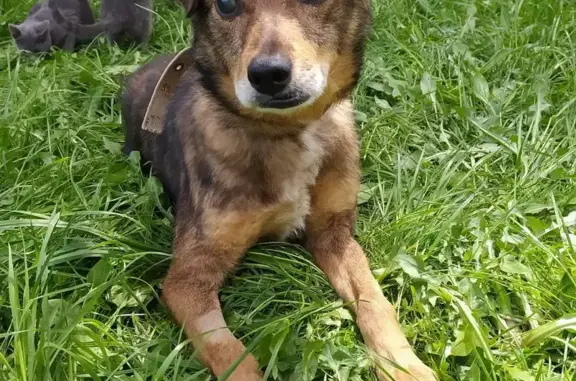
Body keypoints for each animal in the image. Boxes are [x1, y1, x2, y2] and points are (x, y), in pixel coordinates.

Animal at [122, 0, 436, 380]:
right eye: (226, 5)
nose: (268, 75)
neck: (290, 132)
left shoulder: (333, 234)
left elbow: (374, 299)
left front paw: (404, 366)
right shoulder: (187, 278)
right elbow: (229, 353)